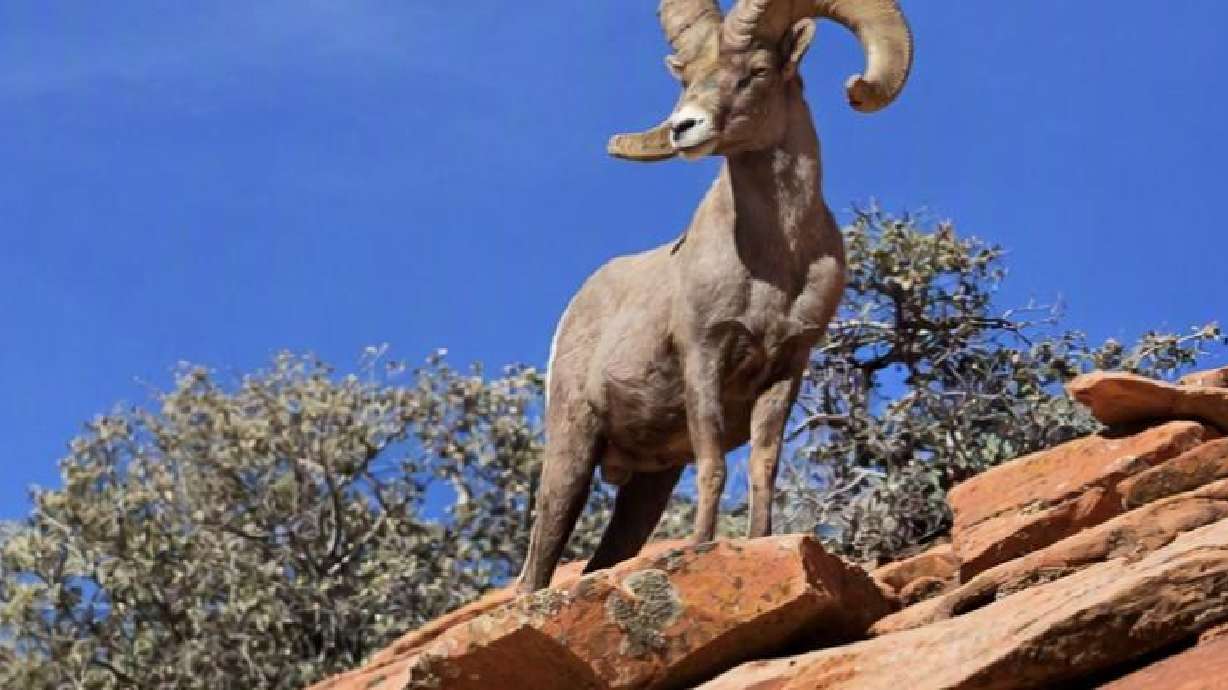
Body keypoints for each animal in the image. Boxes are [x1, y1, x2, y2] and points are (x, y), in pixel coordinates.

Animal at [517, 0, 913, 593]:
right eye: (688, 78)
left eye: (757, 71)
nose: (684, 128)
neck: (775, 263)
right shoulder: (704, 355)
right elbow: (713, 464)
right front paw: (702, 547)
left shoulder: (786, 367)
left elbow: (762, 465)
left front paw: (758, 541)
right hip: (573, 445)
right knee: (538, 562)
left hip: (648, 483)